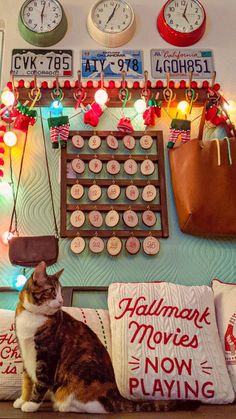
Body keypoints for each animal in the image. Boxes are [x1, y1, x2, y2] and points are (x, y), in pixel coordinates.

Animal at [12, 262, 199, 414]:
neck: (32, 317)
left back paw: (63, 406)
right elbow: (26, 379)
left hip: (81, 376)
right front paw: (22, 399)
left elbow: (41, 382)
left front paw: (32, 404)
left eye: (60, 293)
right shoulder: (25, 351)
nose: (60, 301)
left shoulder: (48, 355)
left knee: (104, 407)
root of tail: (118, 394)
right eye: (52, 291)